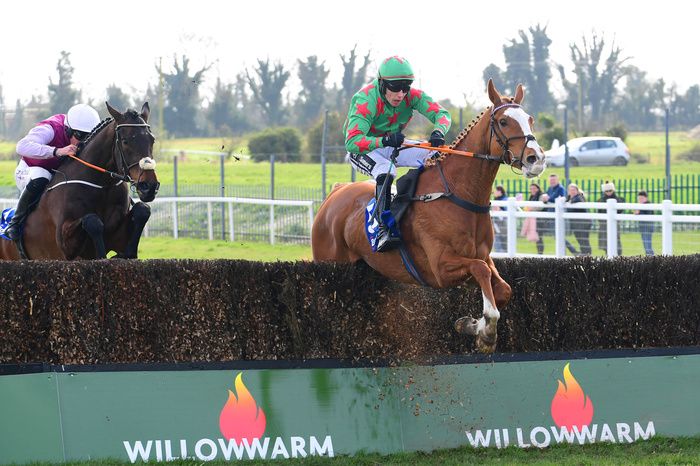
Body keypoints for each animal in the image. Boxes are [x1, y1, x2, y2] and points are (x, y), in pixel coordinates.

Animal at [0, 102, 160, 260]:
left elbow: (143, 210)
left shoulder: (118, 237)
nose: (149, 186)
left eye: (152, 140)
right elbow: (92, 220)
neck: (102, 186)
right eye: (125, 141)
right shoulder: (66, 245)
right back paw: (12, 229)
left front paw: (127, 253)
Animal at [312, 80, 548, 352]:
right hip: (329, 260)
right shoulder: (440, 268)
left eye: (530, 119)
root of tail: (335, 193)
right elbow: (481, 272)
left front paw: (471, 325)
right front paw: (486, 332)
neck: (457, 194)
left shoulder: (482, 256)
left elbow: (503, 289)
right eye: (504, 121)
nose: (536, 159)